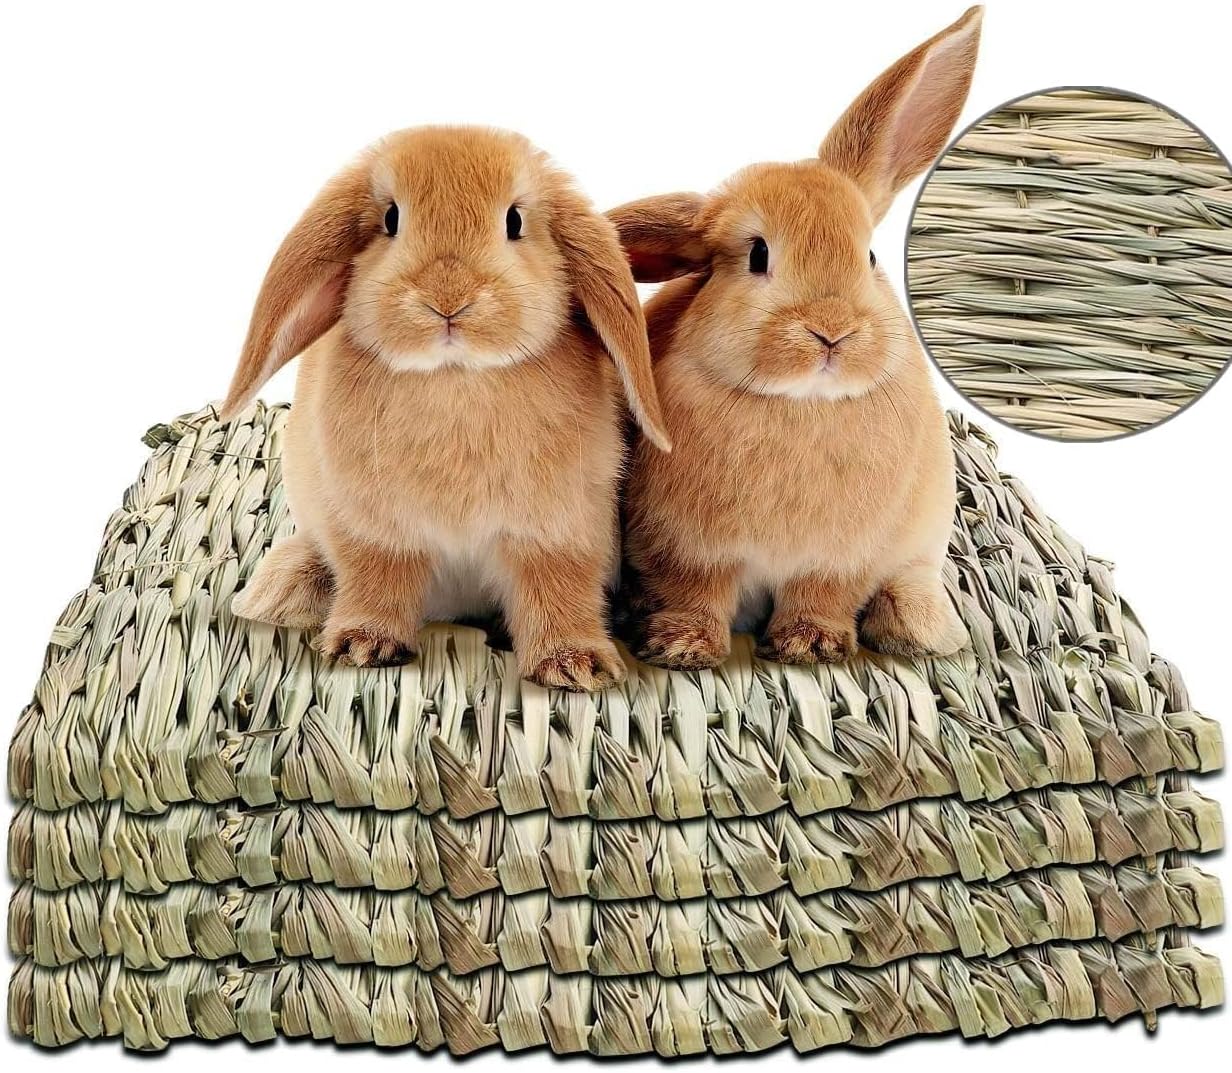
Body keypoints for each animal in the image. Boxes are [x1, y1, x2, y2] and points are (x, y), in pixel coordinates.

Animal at [219, 126, 671, 690]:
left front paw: (575, 665)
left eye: (514, 221)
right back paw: (280, 590)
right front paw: (362, 645)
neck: (455, 376)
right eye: (391, 219)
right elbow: (376, 579)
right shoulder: (375, 530)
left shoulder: (561, 529)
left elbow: (557, 586)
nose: (448, 299)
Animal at [607, 8, 983, 670]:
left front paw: (811, 644)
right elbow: (695, 593)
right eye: (757, 255)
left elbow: (821, 593)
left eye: (869, 256)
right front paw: (682, 647)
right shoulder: (687, 549)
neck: (802, 405)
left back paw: (918, 628)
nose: (832, 330)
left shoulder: (841, 558)